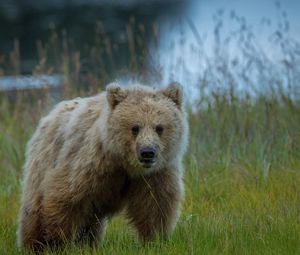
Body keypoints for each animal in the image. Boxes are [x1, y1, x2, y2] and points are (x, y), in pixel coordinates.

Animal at [16, 81, 188, 251]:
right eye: (135, 127)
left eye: (159, 128)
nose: (147, 152)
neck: (124, 164)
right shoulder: (90, 165)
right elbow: (65, 198)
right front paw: (58, 243)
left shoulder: (156, 174)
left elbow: (154, 206)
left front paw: (154, 241)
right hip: (43, 163)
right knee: (34, 212)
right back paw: (33, 245)